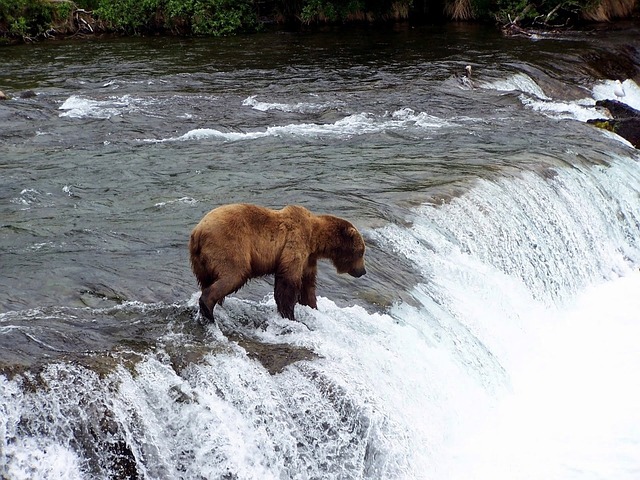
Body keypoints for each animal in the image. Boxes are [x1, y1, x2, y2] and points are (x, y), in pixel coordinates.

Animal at [189, 203, 364, 320]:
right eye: (361, 251)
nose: (363, 271)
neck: (315, 239)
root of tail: (198, 231)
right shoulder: (295, 243)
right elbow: (288, 282)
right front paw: (289, 315)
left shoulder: (309, 259)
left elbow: (308, 286)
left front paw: (312, 307)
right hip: (229, 245)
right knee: (234, 274)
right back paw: (208, 309)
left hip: (199, 261)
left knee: (208, 280)